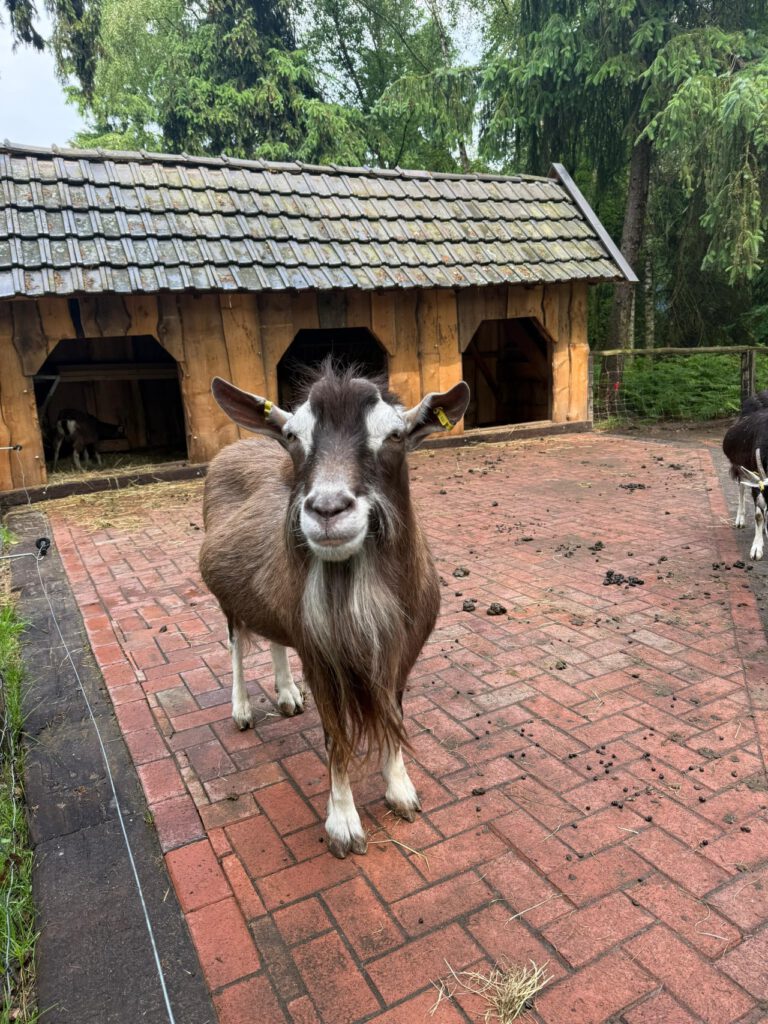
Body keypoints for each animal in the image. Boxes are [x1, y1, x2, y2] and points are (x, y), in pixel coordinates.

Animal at [199, 363, 469, 857]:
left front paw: (400, 792)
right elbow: (334, 736)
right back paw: (242, 710)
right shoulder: (321, 657)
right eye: (292, 435)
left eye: (396, 435)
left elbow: (393, 714)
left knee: (272, 637)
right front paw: (343, 824)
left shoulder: (399, 653)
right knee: (235, 645)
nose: (327, 510)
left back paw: (287, 696)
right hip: (226, 600)